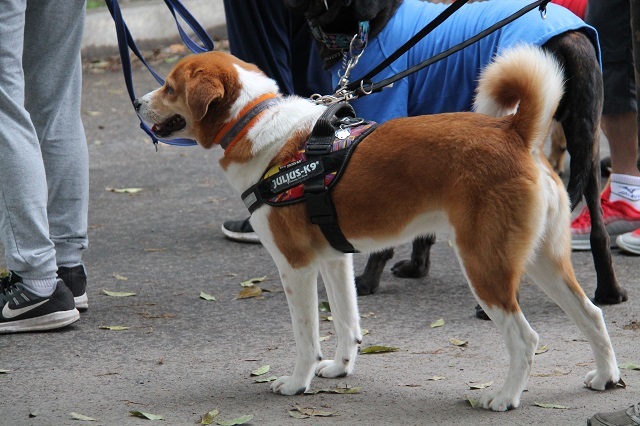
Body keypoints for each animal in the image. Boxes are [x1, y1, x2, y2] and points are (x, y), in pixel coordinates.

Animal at [135, 46, 620, 412]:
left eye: (170, 87)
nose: (138, 103)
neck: (254, 120)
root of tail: (513, 131)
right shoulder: (334, 259)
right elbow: (346, 320)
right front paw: (340, 368)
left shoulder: (296, 266)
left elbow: (306, 335)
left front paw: (297, 383)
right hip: (542, 262)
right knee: (592, 314)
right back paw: (606, 377)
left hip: (486, 266)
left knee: (525, 337)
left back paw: (504, 397)